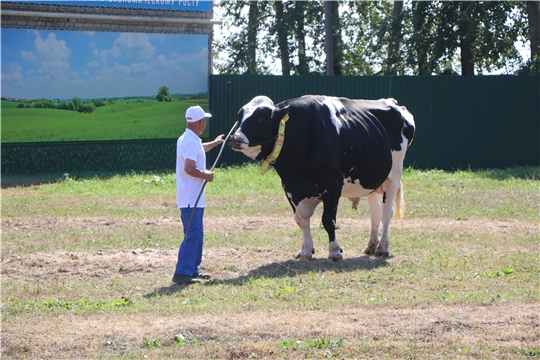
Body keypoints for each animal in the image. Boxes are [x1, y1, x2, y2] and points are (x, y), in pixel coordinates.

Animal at [230, 94, 416, 260]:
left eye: (261, 118)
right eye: (240, 116)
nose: (235, 138)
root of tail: (393, 102)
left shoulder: (332, 184)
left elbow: (328, 220)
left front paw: (335, 251)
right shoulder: (290, 187)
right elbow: (301, 220)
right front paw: (306, 250)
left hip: (393, 175)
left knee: (386, 212)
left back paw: (383, 248)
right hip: (370, 179)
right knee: (375, 212)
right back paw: (371, 246)